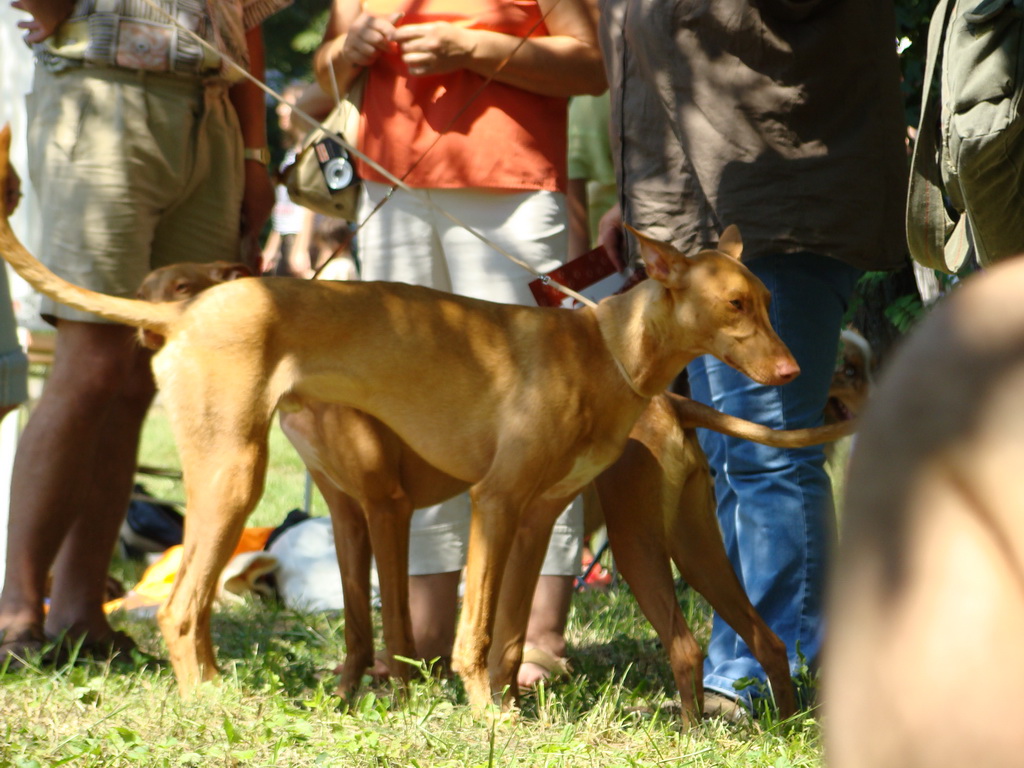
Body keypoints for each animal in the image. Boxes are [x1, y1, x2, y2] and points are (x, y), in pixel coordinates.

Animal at [0, 124, 802, 716]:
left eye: (766, 300)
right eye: (736, 305)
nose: (792, 373)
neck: (607, 349)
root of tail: (186, 315)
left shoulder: (528, 516)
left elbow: (504, 636)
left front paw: (498, 710)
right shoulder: (488, 503)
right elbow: (470, 634)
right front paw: (481, 712)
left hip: (679, 540)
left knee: (759, 638)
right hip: (234, 478)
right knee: (181, 608)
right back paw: (212, 702)